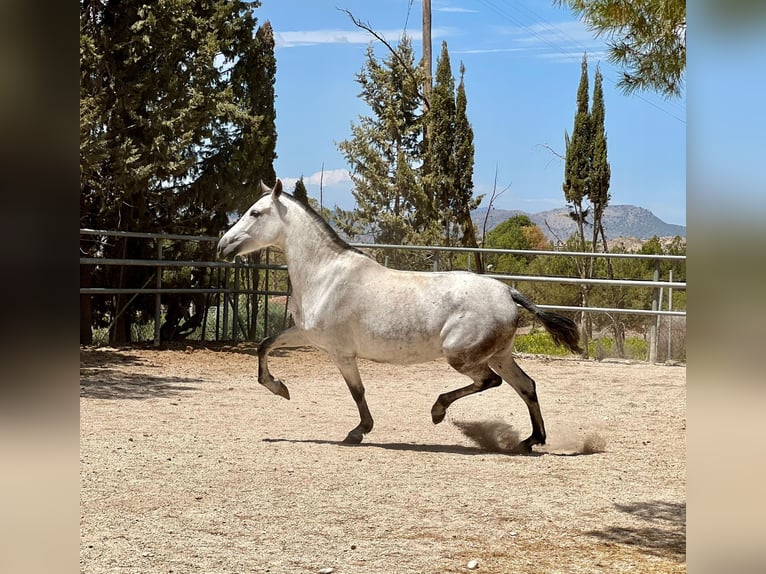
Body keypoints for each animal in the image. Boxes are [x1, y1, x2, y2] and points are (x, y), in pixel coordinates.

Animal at [218, 180, 584, 454]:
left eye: (255, 212)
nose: (223, 246)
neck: (325, 274)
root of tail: (508, 292)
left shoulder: (341, 353)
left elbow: (357, 392)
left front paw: (358, 431)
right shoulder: (305, 334)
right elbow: (265, 345)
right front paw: (280, 389)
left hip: (462, 356)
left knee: (490, 382)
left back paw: (438, 411)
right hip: (501, 355)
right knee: (526, 386)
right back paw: (531, 440)